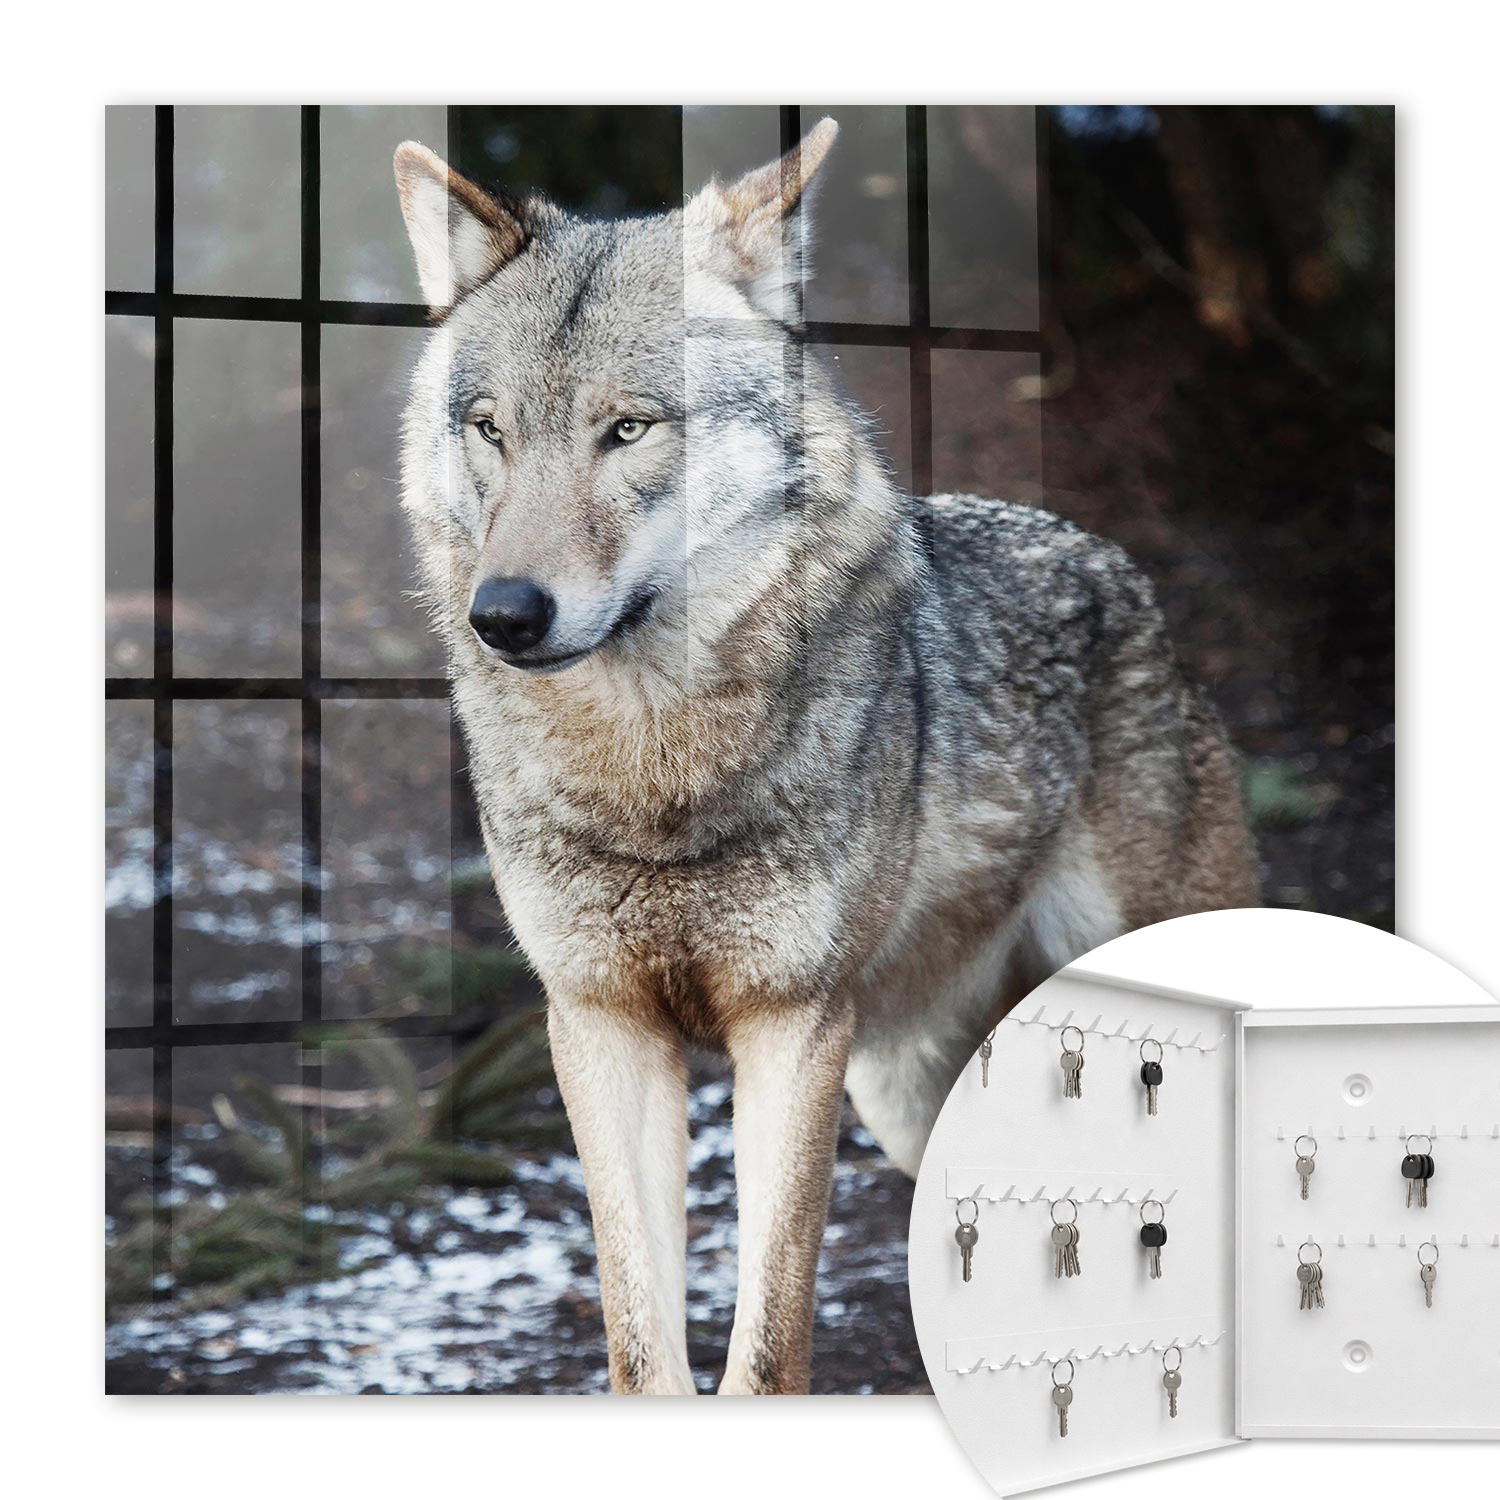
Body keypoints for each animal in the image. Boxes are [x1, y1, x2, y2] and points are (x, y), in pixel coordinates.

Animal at [392, 118, 1258, 1396]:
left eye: (628, 427)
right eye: (491, 430)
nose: (503, 614)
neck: (654, 773)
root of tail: (1120, 569)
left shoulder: (792, 1027)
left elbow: (767, 1347)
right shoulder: (601, 1028)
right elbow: (642, 1349)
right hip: (906, 1092)